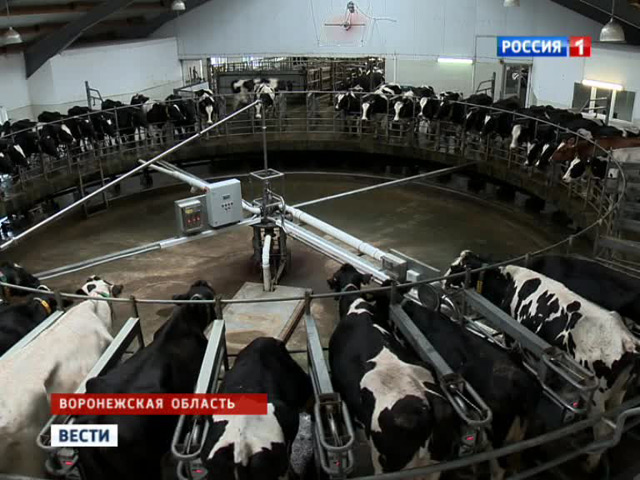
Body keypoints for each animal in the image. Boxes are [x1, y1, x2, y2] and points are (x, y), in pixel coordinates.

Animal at [444, 250, 640, 472]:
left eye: (456, 268)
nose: (443, 281)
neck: (508, 282)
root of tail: (628, 342)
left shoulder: (512, 340)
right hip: (619, 392)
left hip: (597, 397)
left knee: (603, 430)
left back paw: (590, 464)